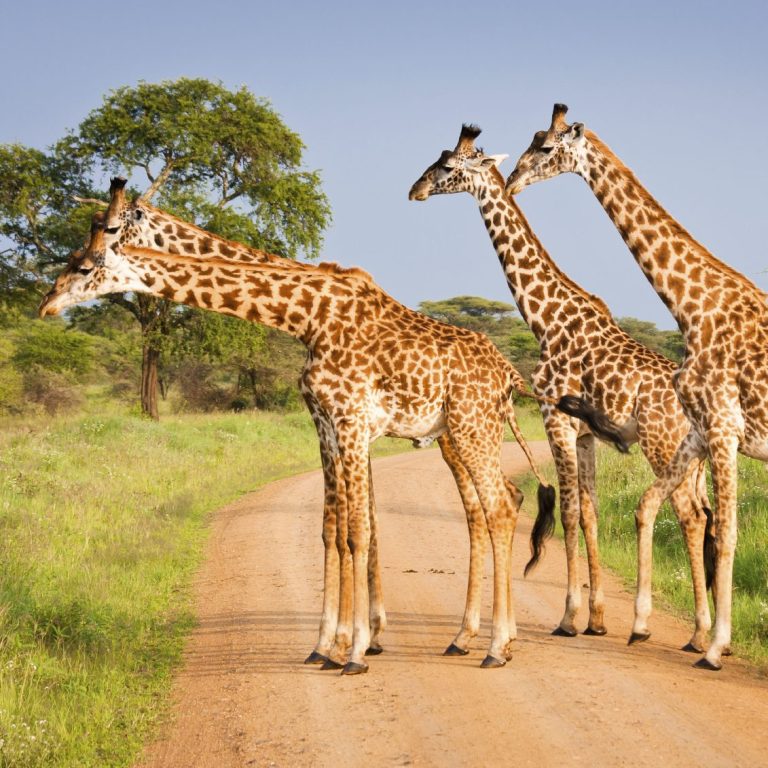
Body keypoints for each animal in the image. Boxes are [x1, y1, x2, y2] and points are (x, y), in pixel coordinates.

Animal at [40, 218, 612, 672]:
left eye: (85, 264)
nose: (47, 304)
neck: (307, 315)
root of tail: (508, 376)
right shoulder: (329, 427)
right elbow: (333, 530)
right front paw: (326, 647)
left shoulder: (351, 421)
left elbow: (358, 530)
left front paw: (355, 651)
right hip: (465, 435)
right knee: (497, 506)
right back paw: (476, 637)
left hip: (470, 430)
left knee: (499, 507)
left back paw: (497, 646)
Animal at [408, 124, 712, 648]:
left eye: (446, 166)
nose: (415, 190)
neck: (545, 317)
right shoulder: (586, 433)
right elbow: (589, 513)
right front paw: (596, 618)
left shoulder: (557, 421)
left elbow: (569, 512)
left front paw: (570, 618)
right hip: (692, 461)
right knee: (711, 519)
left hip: (662, 445)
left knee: (690, 516)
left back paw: (690, 633)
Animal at [508, 105, 764, 668]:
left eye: (544, 146)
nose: (511, 180)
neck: (694, 308)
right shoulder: (700, 430)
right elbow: (648, 506)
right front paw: (642, 624)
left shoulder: (723, 428)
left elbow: (727, 533)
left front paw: (715, 646)